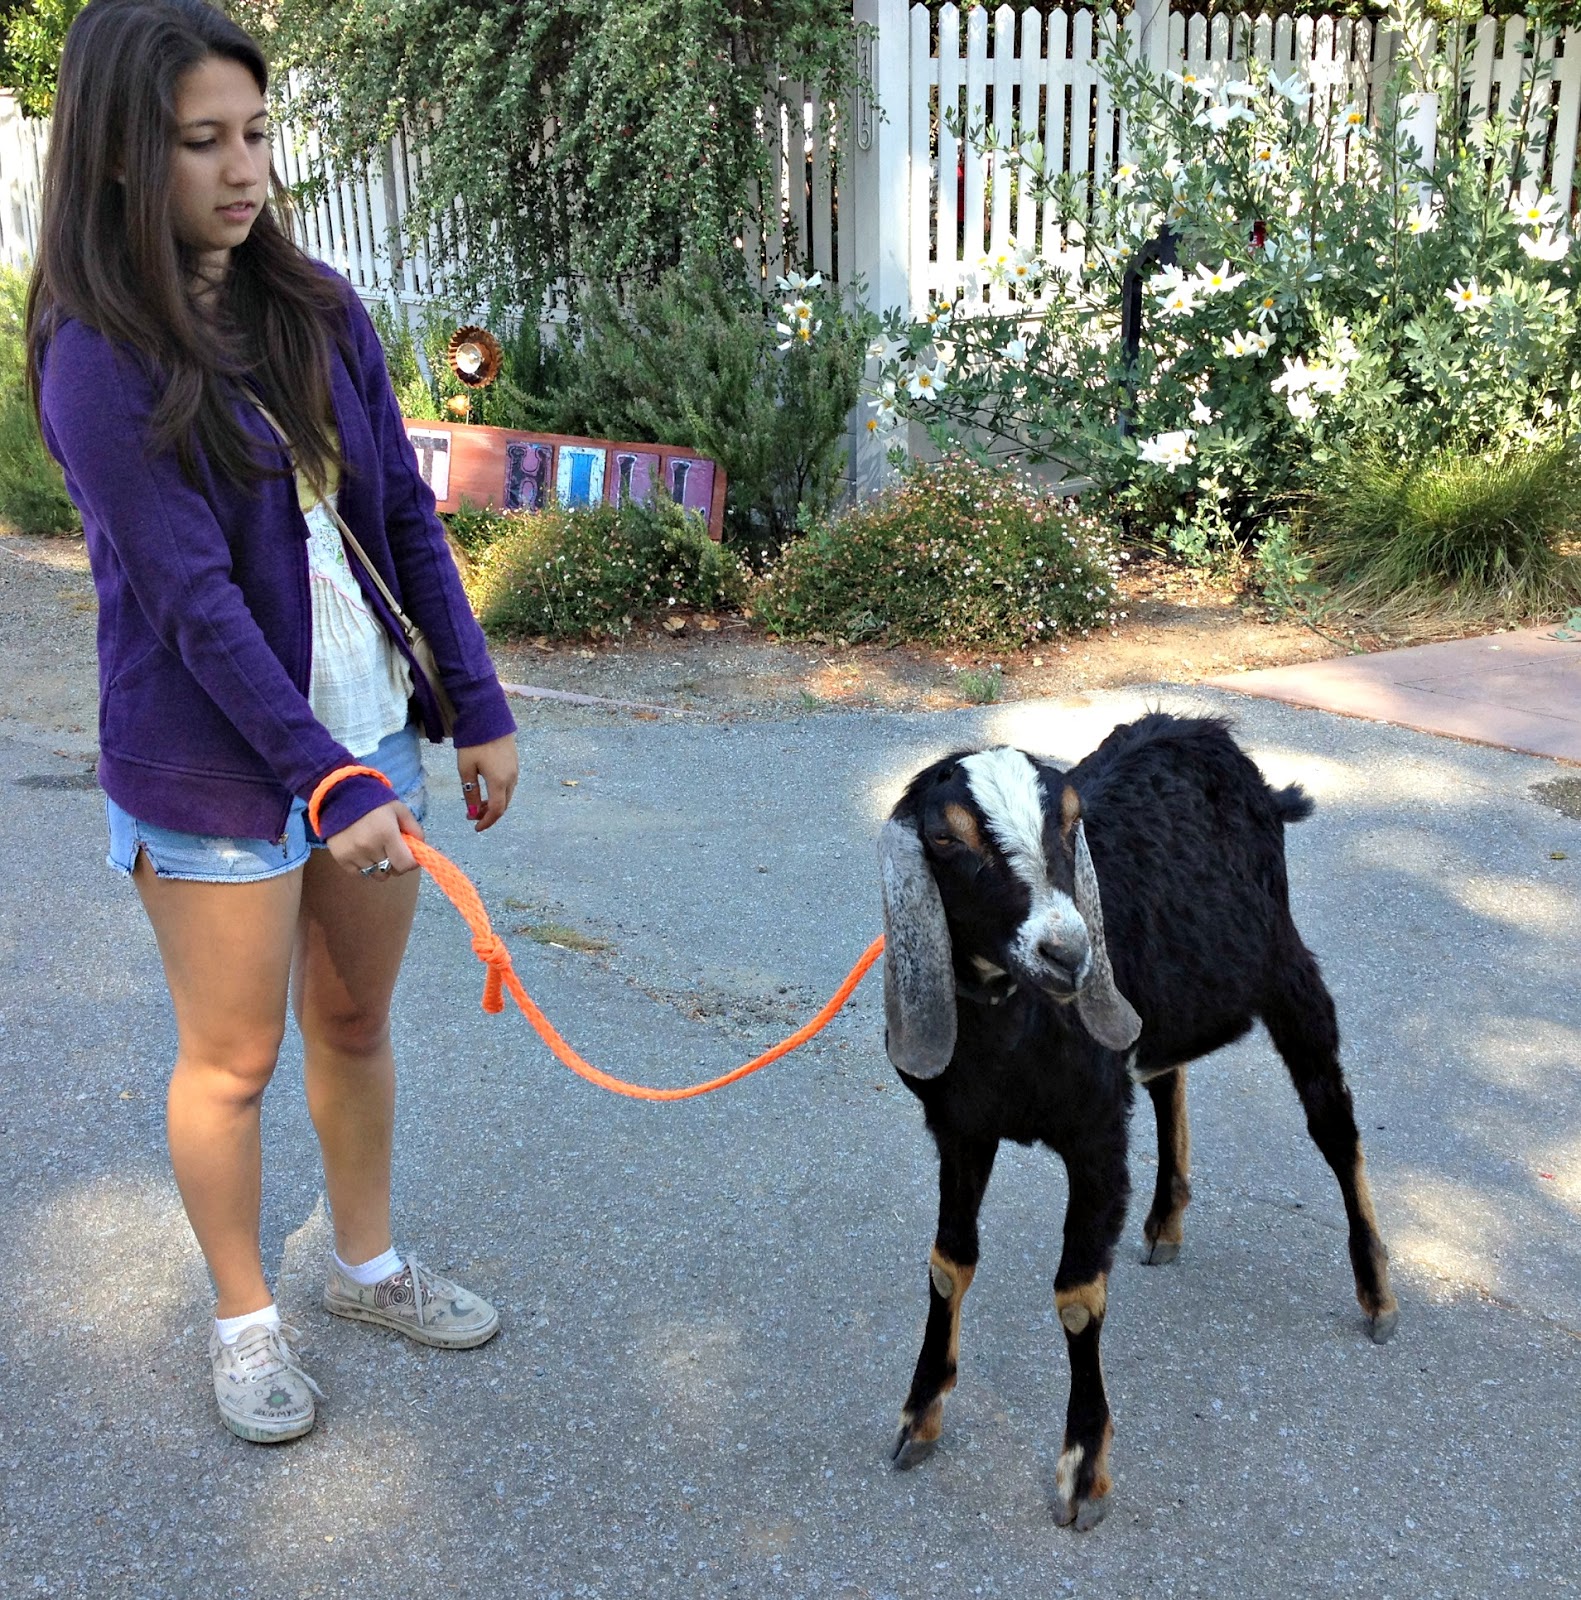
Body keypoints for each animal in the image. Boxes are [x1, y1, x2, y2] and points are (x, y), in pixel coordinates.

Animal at [877, 711, 1397, 1530]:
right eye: (945, 839)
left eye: (1069, 822)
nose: (1068, 952)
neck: (1014, 1028)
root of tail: (1205, 732)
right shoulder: (960, 1128)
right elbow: (947, 1263)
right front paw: (919, 1415)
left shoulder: (1095, 1135)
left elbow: (1076, 1296)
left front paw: (1083, 1471)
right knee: (1167, 1075)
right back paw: (1164, 1222)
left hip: (1285, 969)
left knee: (1333, 1123)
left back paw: (1376, 1293)